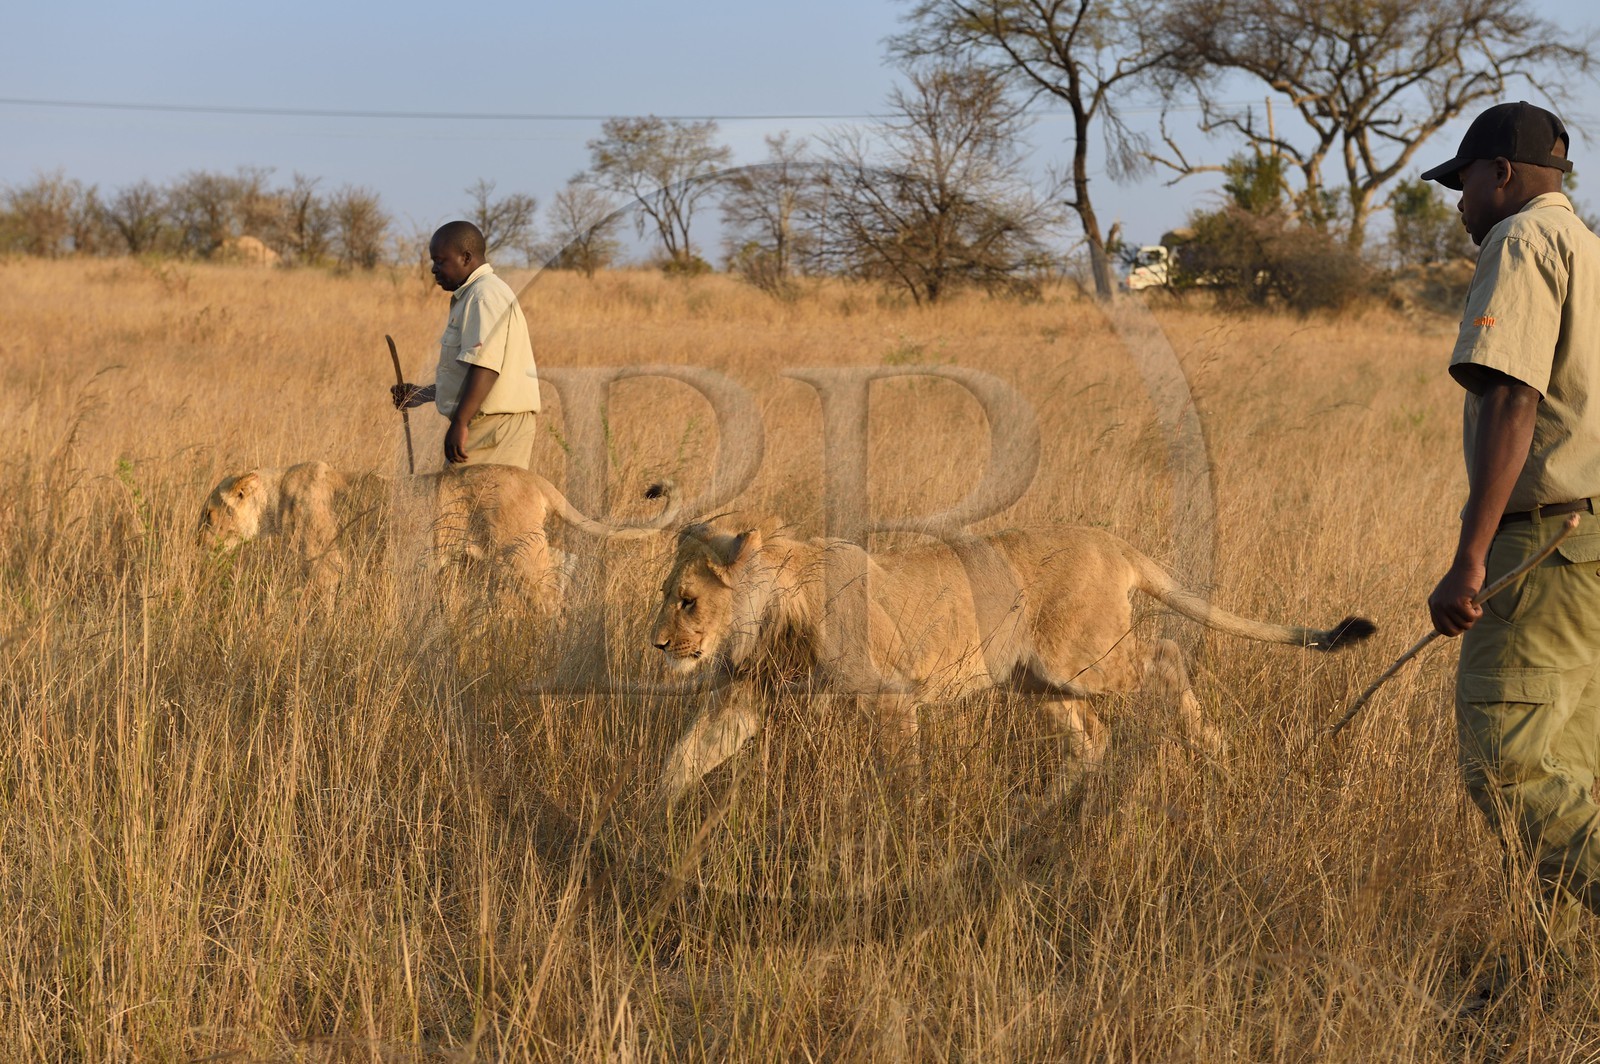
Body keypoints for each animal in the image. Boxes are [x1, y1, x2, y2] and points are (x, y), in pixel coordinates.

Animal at [197, 461, 676, 612]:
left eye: (208, 514)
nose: (198, 544)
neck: (275, 500)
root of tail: (534, 478)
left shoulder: (324, 566)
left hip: (520, 554)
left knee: (550, 591)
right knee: (563, 568)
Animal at [649, 516, 1375, 803]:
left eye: (687, 602)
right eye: (668, 596)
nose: (657, 645)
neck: (776, 605)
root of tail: (1112, 543)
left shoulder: (889, 694)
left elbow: (900, 775)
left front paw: (906, 829)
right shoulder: (747, 697)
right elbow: (687, 757)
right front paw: (646, 822)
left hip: (1084, 658)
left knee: (1166, 655)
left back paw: (1217, 753)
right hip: (1039, 681)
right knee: (1092, 737)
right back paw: (1040, 815)